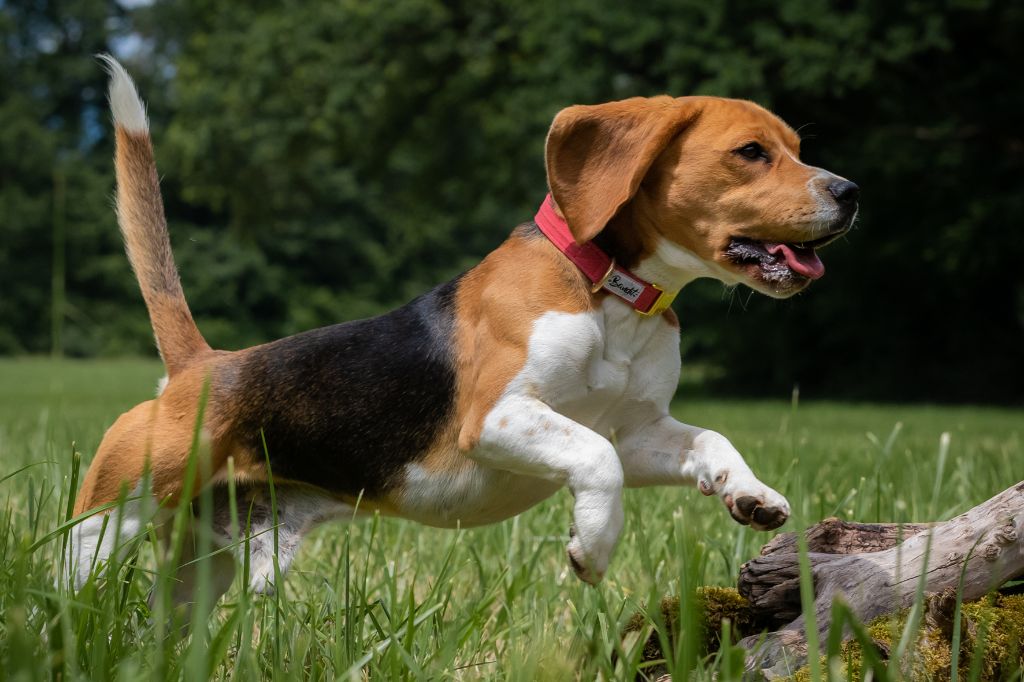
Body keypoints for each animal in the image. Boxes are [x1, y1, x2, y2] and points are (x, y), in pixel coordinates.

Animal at [70, 57, 856, 589]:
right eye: (751, 153)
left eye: (794, 148)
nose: (850, 191)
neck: (608, 292)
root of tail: (201, 367)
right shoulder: (500, 418)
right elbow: (594, 465)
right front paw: (593, 548)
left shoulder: (634, 432)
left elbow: (706, 439)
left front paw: (748, 493)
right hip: (105, 525)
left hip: (203, 569)